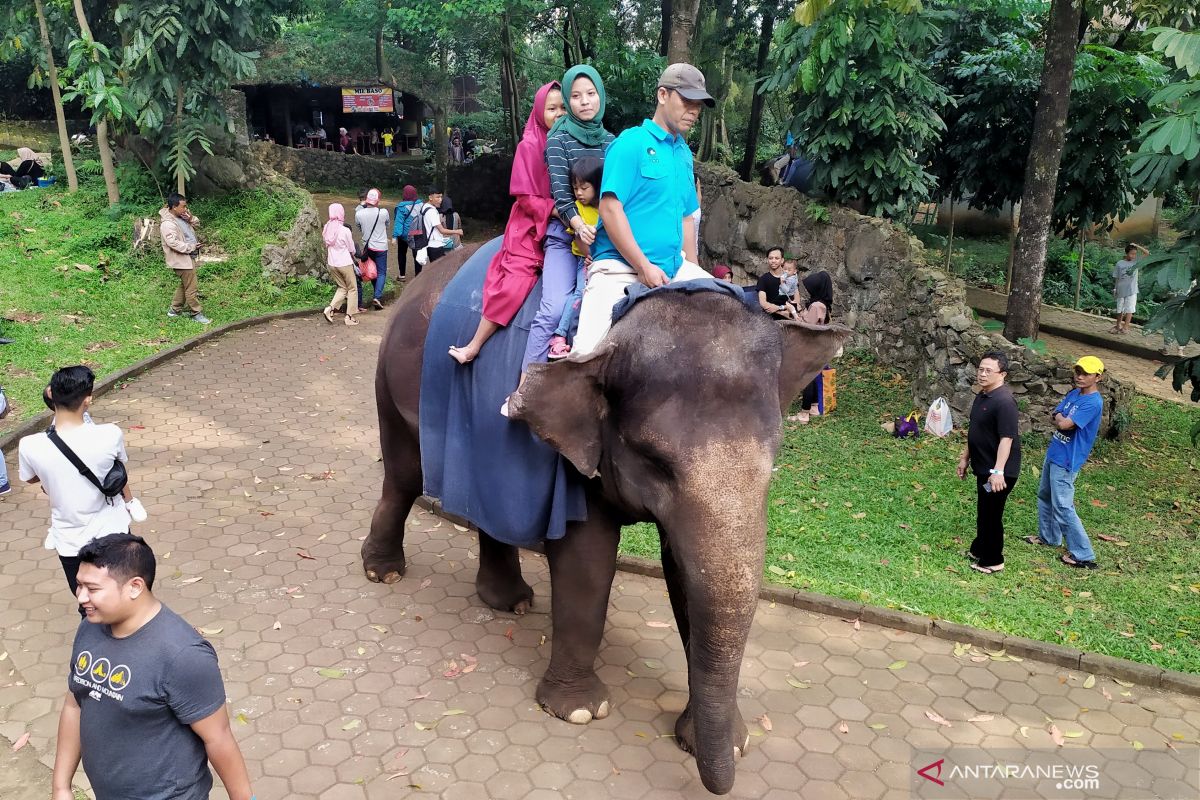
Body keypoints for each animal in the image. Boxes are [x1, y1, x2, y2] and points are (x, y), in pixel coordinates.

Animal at [360, 242, 849, 796]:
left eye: (774, 461)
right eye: (656, 461)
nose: (723, 772)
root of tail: (417, 283)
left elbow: (685, 573)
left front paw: (722, 741)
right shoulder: (571, 446)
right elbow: (588, 560)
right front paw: (577, 711)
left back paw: (510, 602)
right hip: (391, 379)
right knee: (404, 474)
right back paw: (384, 572)